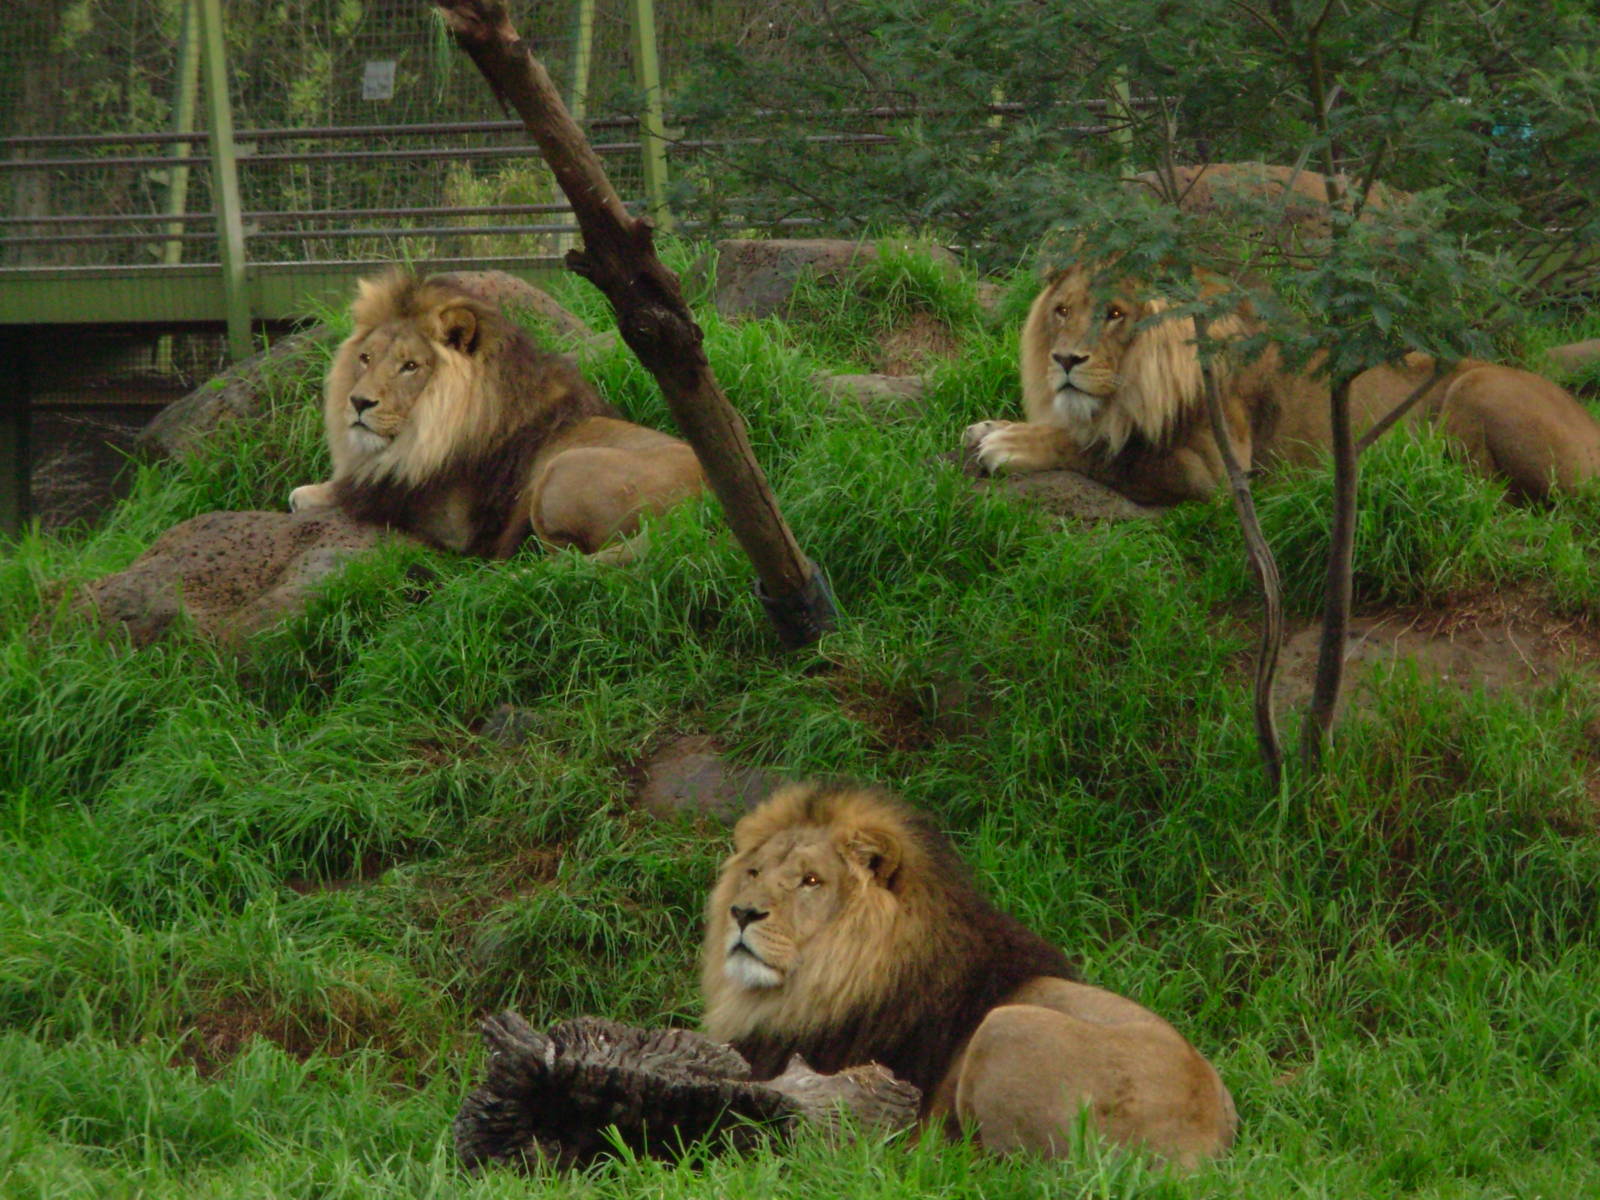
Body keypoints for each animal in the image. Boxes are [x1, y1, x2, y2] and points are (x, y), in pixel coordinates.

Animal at [289, 270, 704, 556]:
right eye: (365, 358)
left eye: (410, 366)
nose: (358, 402)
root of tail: (701, 512)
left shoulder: (447, 521)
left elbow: (354, 493)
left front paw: (306, 493)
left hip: (562, 467)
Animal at [963, 262, 1600, 505]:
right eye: (1062, 311)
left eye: (1116, 314)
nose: (1065, 359)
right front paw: (994, 423)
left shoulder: (1216, 473)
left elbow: (1101, 446)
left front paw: (1010, 443)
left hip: (1480, 387)